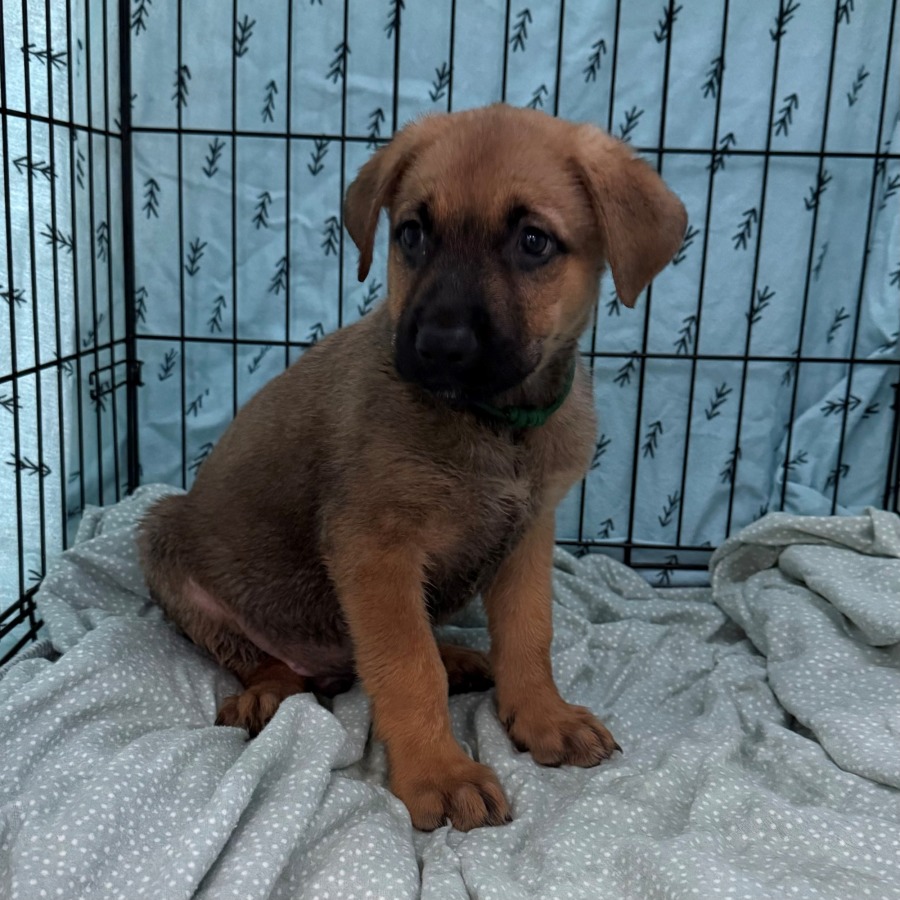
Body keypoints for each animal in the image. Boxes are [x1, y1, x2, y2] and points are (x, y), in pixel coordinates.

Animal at [138, 103, 686, 832]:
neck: (496, 427)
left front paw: (542, 715)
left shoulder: (528, 535)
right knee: (263, 660)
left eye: (534, 242)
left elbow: (529, 633)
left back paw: (457, 657)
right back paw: (270, 691)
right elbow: (406, 665)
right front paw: (438, 771)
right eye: (412, 234)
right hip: (162, 534)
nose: (439, 344)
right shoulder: (375, 548)